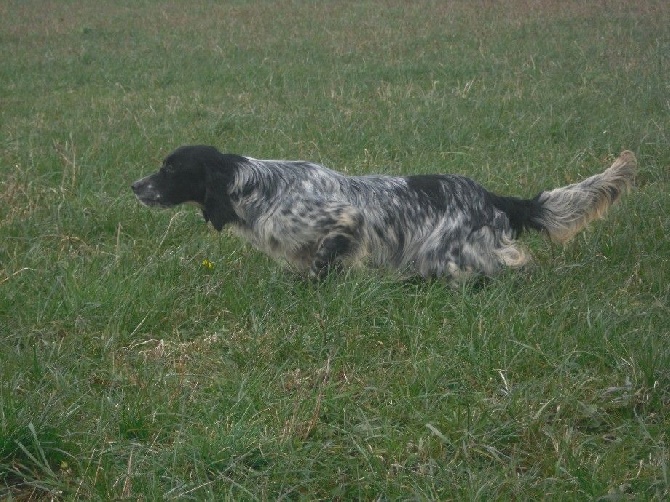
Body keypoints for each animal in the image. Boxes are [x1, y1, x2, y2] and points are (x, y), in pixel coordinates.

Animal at [130, 146, 636, 282]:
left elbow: (323, 264)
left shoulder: (342, 222)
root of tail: (494, 198)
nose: (134, 185)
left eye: (170, 168)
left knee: (504, 268)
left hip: (444, 252)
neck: (258, 187)